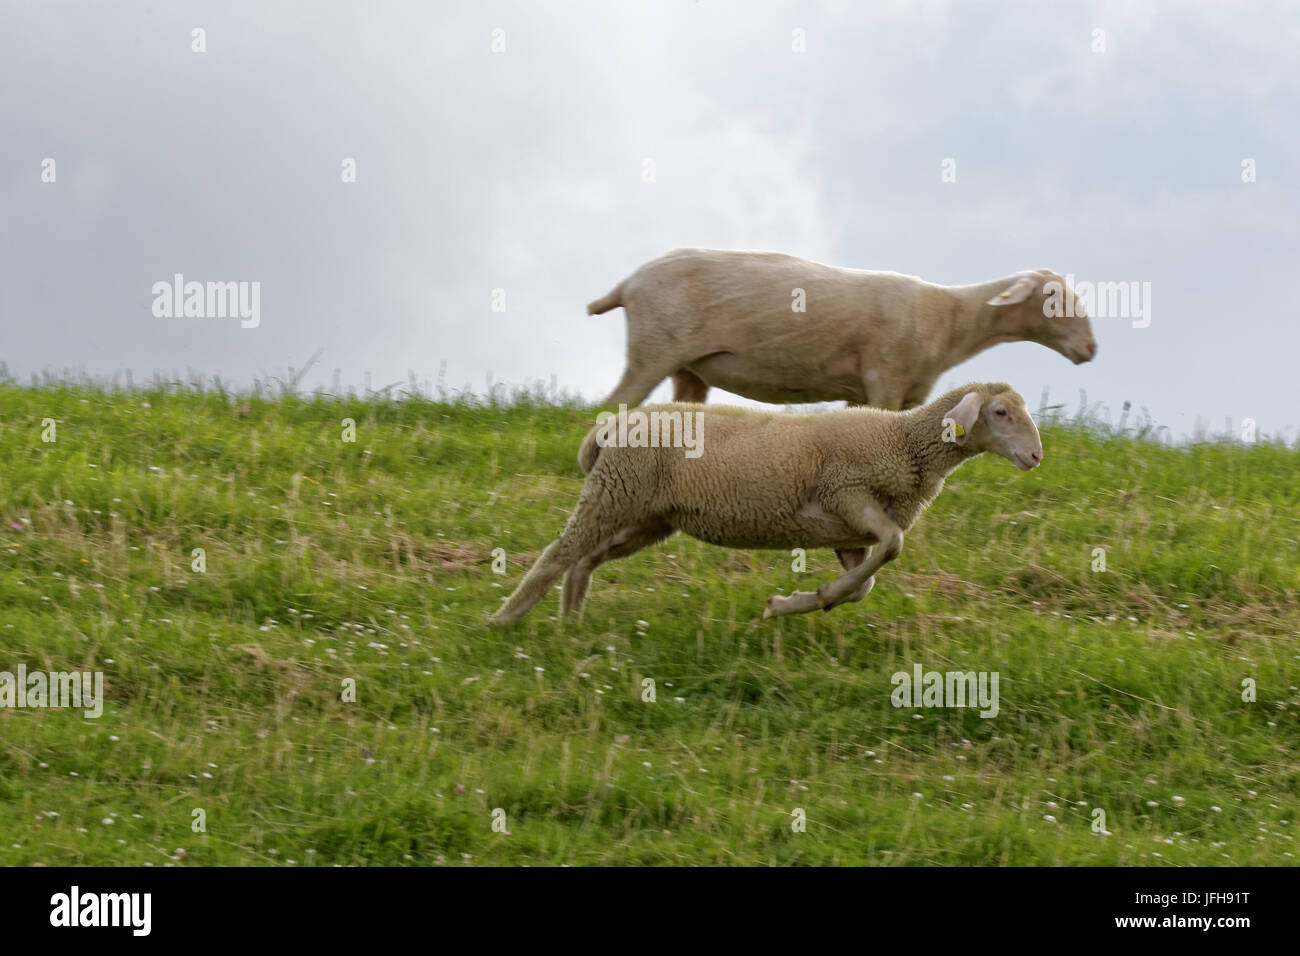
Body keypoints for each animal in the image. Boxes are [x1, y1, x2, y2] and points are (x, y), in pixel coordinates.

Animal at [488, 382, 1045, 629]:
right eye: (999, 412)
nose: (1037, 456)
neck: (905, 441)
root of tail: (610, 427)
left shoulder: (848, 533)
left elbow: (863, 583)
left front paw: (803, 601)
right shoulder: (846, 492)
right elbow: (893, 546)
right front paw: (793, 601)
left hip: (648, 516)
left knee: (584, 560)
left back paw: (572, 626)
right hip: (615, 490)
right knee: (558, 555)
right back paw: (505, 621)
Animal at [590, 248, 1097, 408]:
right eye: (1053, 297)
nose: (1090, 349)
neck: (949, 319)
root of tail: (627, 284)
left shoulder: (873, 393)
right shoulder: (884, 379)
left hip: (690, 370)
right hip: (653, 350)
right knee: (610, 406)